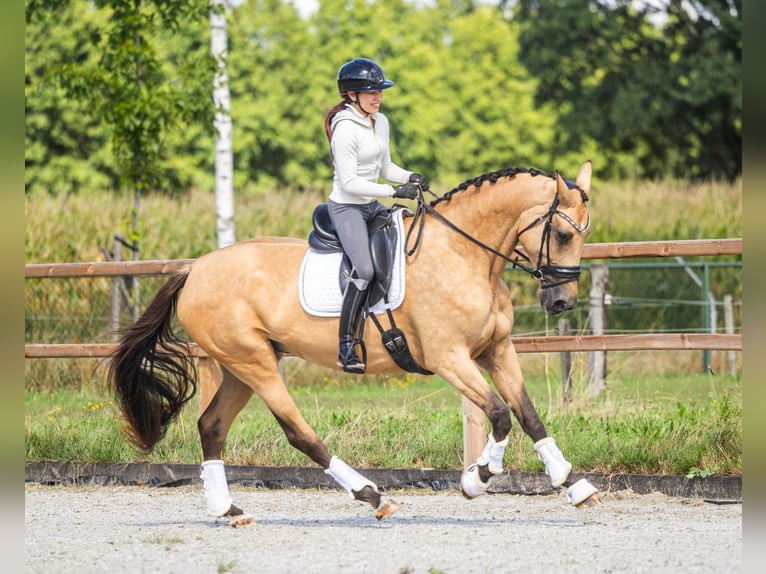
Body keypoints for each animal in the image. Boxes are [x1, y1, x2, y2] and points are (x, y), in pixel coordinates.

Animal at [109, 161, 601, 526]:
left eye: (584, 234)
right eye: (562, 234)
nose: (560, 301)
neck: (464, 256)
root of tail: (195, 268)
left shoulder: (495, 350)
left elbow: (528, 414)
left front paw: (574, 485)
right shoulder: (449, 358)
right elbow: (500, 415)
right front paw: (476, 479)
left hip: (240, 364)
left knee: (211, 426)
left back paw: (227, 509)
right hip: (253, 363)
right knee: (298, 432)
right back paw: (372, 495)